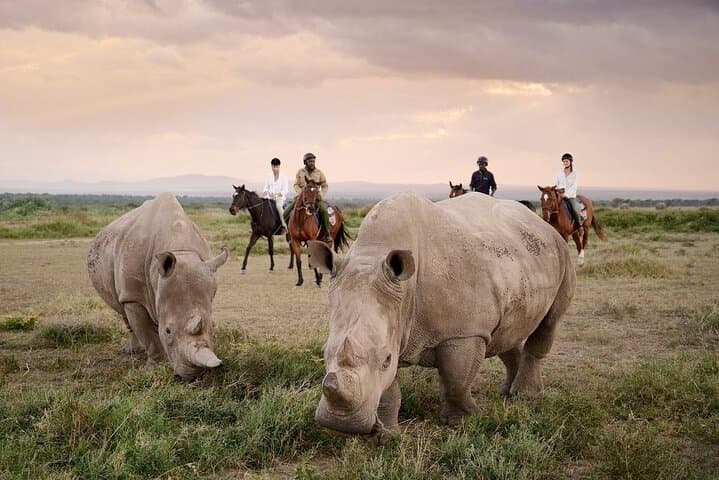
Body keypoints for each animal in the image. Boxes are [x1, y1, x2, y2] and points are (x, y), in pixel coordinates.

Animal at [88, 193, 228, 380]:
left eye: (212, 327)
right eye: (168, 331)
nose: (191, 376)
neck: (180, 250)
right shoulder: (133, 297)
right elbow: (148, 335)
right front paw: (153, 369)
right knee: (122, 308)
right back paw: (131, 352)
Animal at [308, 192, 575, 440]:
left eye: (385, 359)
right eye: (323, 352)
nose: (341, 424)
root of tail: (540, 222)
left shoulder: (464, 331)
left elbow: (455, 380)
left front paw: (463, 421)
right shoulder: (393, 323)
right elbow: (388, 391)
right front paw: (386, 436)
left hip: (560, 251)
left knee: (549, 322)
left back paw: (524, 396)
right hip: (517, 260)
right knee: (506, 333)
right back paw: (506, 391)